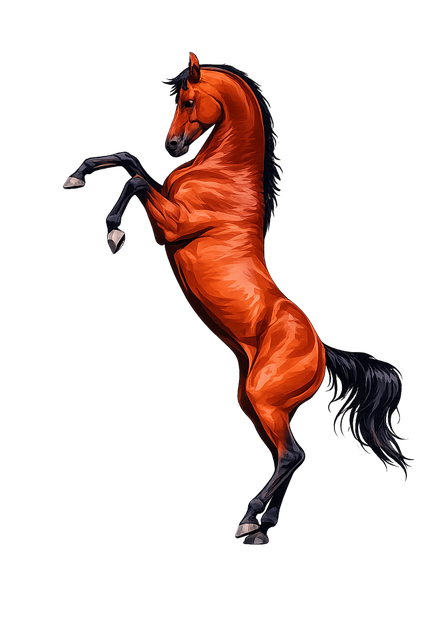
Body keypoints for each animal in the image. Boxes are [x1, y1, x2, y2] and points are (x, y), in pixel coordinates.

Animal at [63, 52, 406, 543]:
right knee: (290, 454)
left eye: (189, 101)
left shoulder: (175, 223)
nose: (171, 146)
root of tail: (324, 352)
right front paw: (75, 177)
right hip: (257, 404)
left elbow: (136, 180)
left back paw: (249, 518)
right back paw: (264, 528)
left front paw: (112, 232)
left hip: (264, 400)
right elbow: (129, 161)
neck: (225, 176)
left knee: (292, 455)